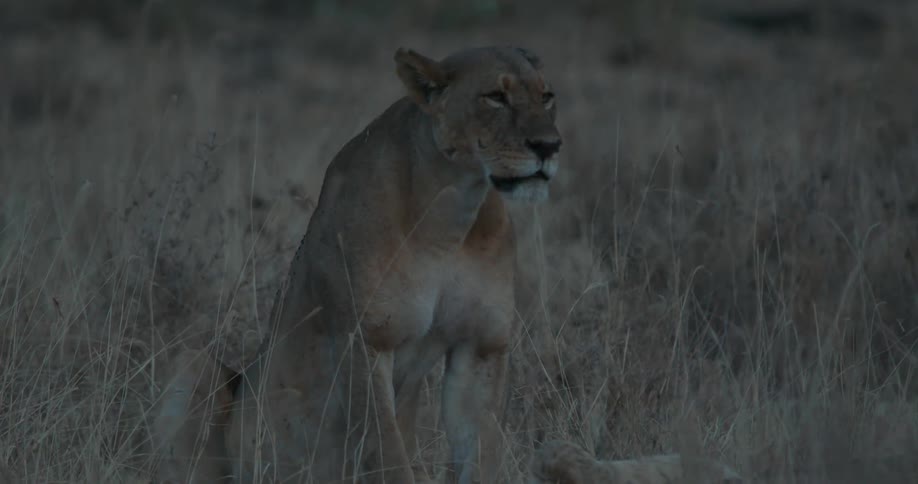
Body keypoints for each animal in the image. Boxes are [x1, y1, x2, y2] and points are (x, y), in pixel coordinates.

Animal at [152, 45, 562, 483]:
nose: (549, 146)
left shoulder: (482, 346)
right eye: (496, 97)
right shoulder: (364, 341)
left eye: (546, 96)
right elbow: (388, 454)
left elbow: (481, 452)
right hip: (192, 364)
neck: (451, 213)